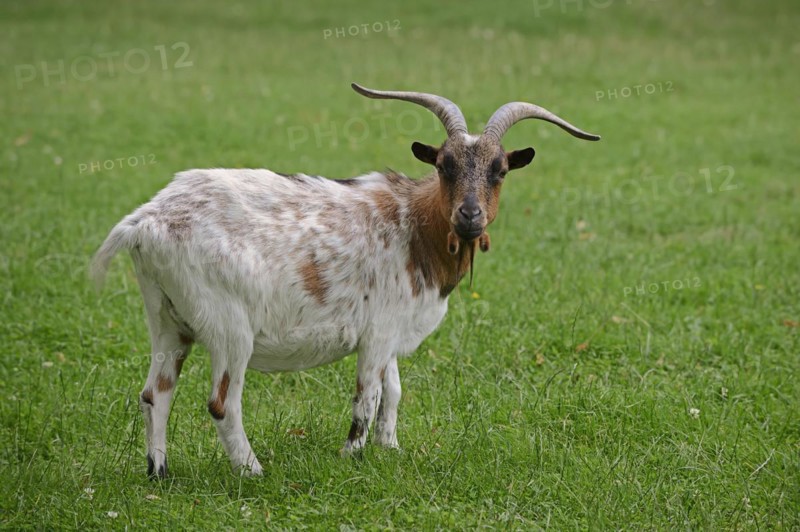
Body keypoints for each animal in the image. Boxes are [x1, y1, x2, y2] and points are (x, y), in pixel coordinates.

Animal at [92, 83, 600, 477]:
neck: (413, 226)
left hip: (166, 319)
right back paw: (253, 471)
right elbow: (367, 396)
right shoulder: (377, 331)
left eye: (500, 170)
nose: (470, 215)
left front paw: (389, 448)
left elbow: (393, 390)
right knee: (222, 403)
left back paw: (159, 472)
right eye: (444, 165)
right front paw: (352, 456)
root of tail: (146, 221)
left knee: (155, 393)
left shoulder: (390, 330)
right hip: (228, 328)